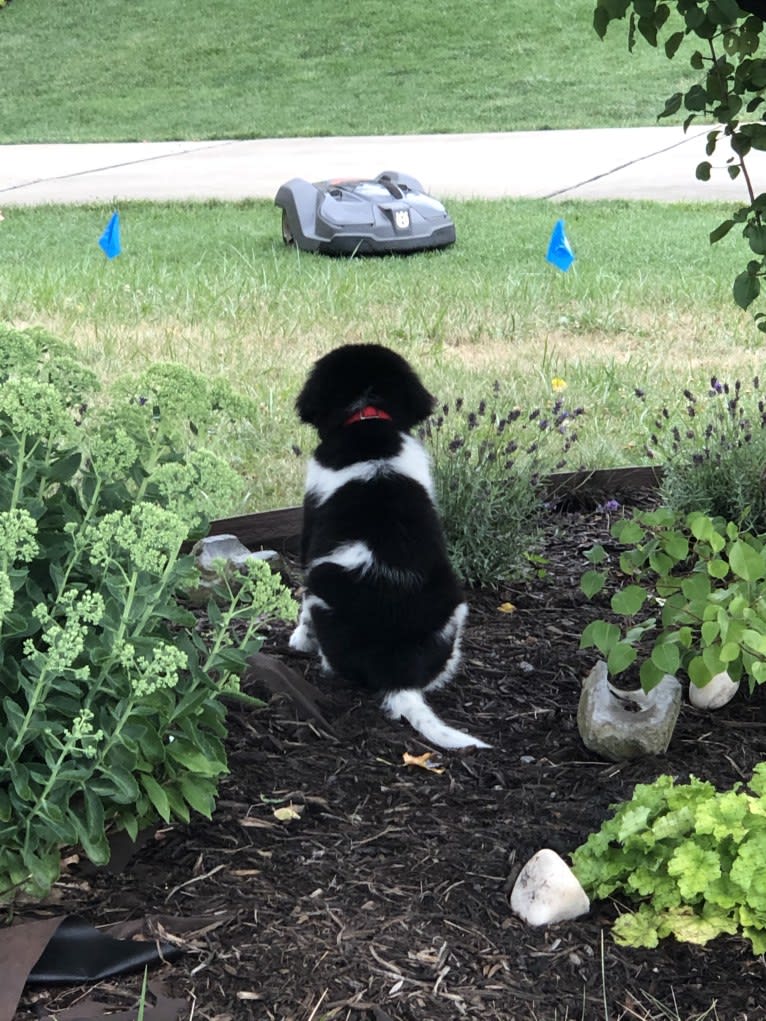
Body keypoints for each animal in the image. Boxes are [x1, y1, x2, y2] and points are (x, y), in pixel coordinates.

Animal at [288, 343, 492, 751]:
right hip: (453, 601)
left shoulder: (309, 528)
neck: (367, 420)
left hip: (324, 584)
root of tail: (398, 674)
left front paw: (299, 639)